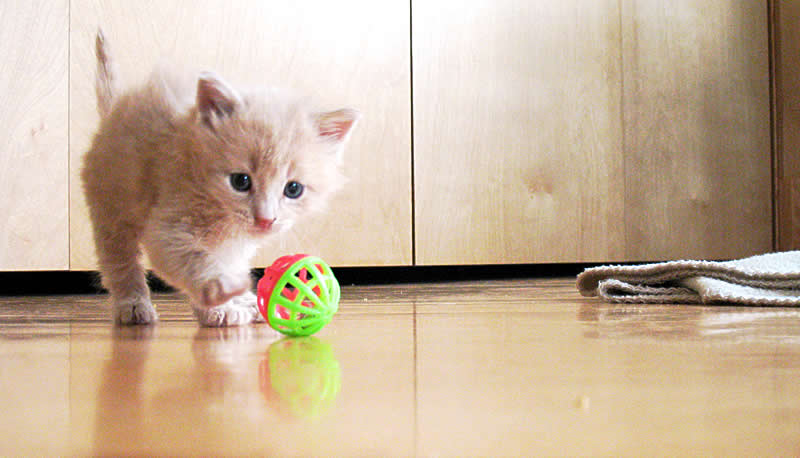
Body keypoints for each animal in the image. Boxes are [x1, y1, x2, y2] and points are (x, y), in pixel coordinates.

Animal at [80, 31, 356, 326]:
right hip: (112, 207)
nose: (266, 220)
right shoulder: (168, 226)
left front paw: (233, 299)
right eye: (240, 182)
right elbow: (195, 261)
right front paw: (219, 298)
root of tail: (113, 112)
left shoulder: (235, 243)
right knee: (120, 260)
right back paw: (132, 304)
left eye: (293, 189)